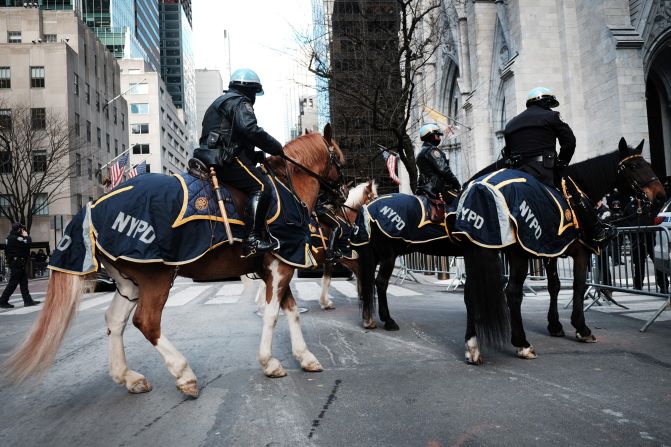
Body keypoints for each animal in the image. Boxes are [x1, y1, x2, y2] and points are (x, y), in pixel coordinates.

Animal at [1, 122, 346, 396]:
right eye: (339, 160)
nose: (342, 198)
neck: (288, 188)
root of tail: (94, 206)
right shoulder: (280, 264)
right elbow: (274, 314)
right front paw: (270, 362)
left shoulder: (278, 266)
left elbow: (292, 312)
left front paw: (305, 357)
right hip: (157, 276)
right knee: (146, 321)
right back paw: (184, 374)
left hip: (129, 281)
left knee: (115, 321)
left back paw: (128, 377)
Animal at [462, 138, 668, 366]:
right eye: (634, 166)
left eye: (647, 164)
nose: (660, 196)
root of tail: (480, 190)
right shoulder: (581, 252)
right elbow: (579, 285)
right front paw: (581, 328)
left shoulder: (549, 249)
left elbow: (555, 286)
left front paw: (555, 325)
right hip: (517, 255)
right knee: (512, 292)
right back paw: (522, 344)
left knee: (471, 292)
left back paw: (472, 347)